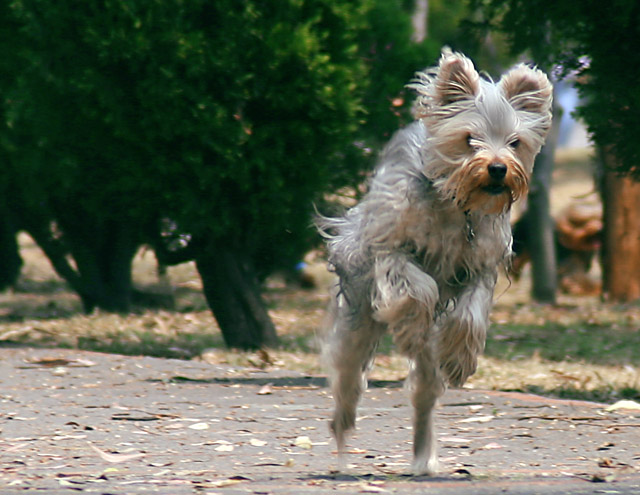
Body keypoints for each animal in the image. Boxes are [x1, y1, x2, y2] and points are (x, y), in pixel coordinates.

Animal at [318, 49, 552, 476]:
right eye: (469, 139)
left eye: (515, 142)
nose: (498, 168)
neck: (455, 203)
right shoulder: (389, 248)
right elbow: (417, 286)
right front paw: (412, 325)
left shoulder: (480, 267)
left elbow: (469, 316)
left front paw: (459, 359)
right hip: (357, 321)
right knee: (347, 379)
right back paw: (342, 447)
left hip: (424, 367)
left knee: (425, 390)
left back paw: (422, 457)